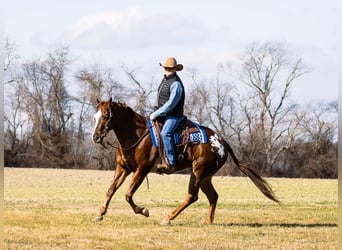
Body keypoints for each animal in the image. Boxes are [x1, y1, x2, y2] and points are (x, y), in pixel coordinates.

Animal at [92, 97, 280, 225]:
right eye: (95, 116)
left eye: (107, 116)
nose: (95, 137)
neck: (136, 135)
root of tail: (221, 140)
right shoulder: (123, 168)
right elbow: (110, 190)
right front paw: (100, 214)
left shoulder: (141, 170)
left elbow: (128, 195)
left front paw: (143, 210)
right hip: (205, 177)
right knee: (213, 196)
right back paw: (208, 221)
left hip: (198, 172)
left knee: (192, 196)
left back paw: (168, 218)